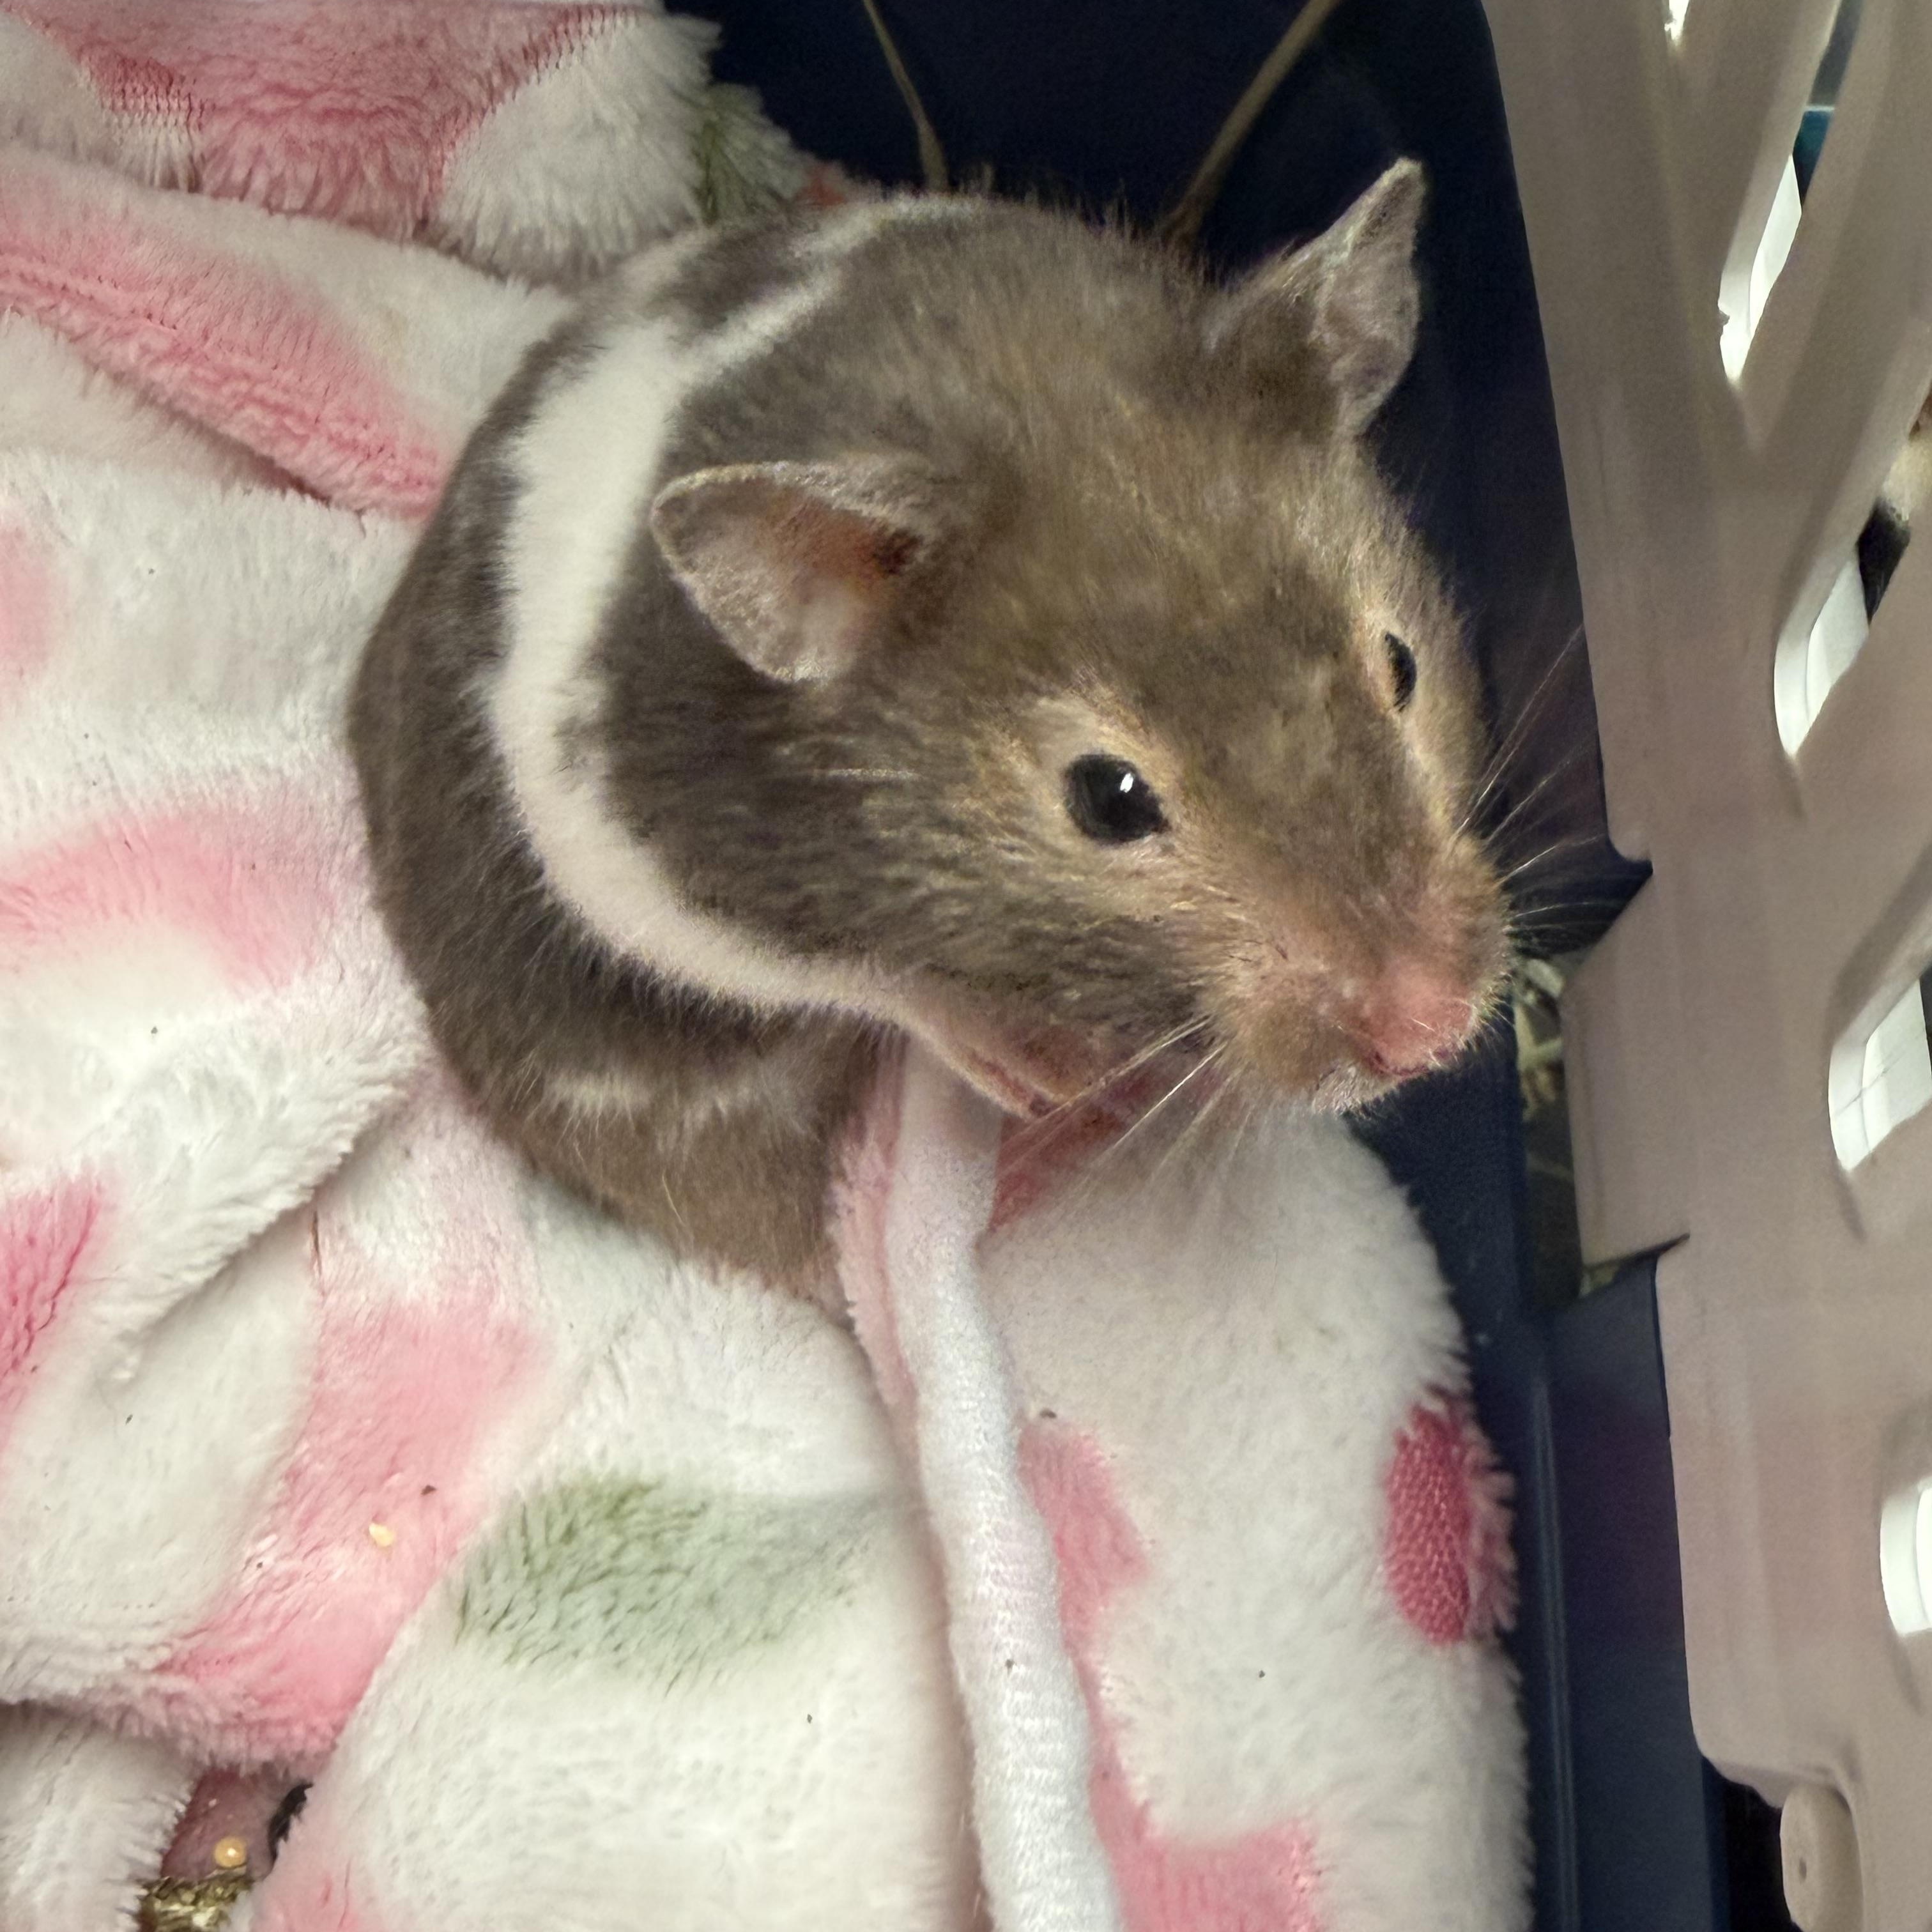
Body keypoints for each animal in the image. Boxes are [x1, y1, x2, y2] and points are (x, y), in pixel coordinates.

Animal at [350, 161, 1511, 1295]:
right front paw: (1044, 1072)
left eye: (1401, 665)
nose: (1433, 1030)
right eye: (1107, 799)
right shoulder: (628, 851)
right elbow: (870, 976)